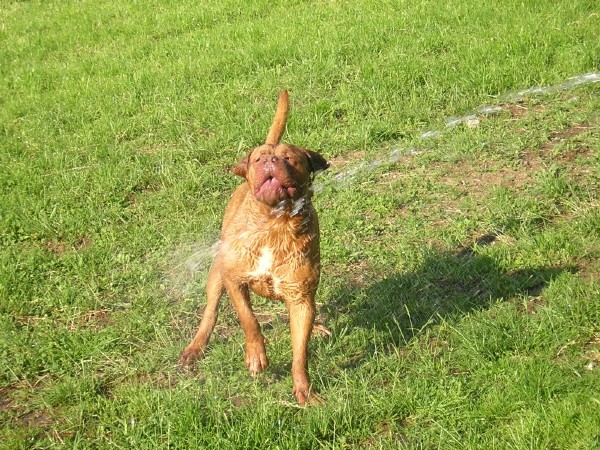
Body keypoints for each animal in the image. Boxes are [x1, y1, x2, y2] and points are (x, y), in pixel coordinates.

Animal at [179, 90, 328, 404]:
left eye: (290, 158)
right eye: (258, 158)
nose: (269, 160)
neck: (275, 225)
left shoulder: (300, 297)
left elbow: (300, 352)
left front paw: (304, 391)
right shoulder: (234, 279)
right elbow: (249, 320)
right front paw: (256, 355)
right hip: (215, 273)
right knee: (210, 312)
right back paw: (196, 347)